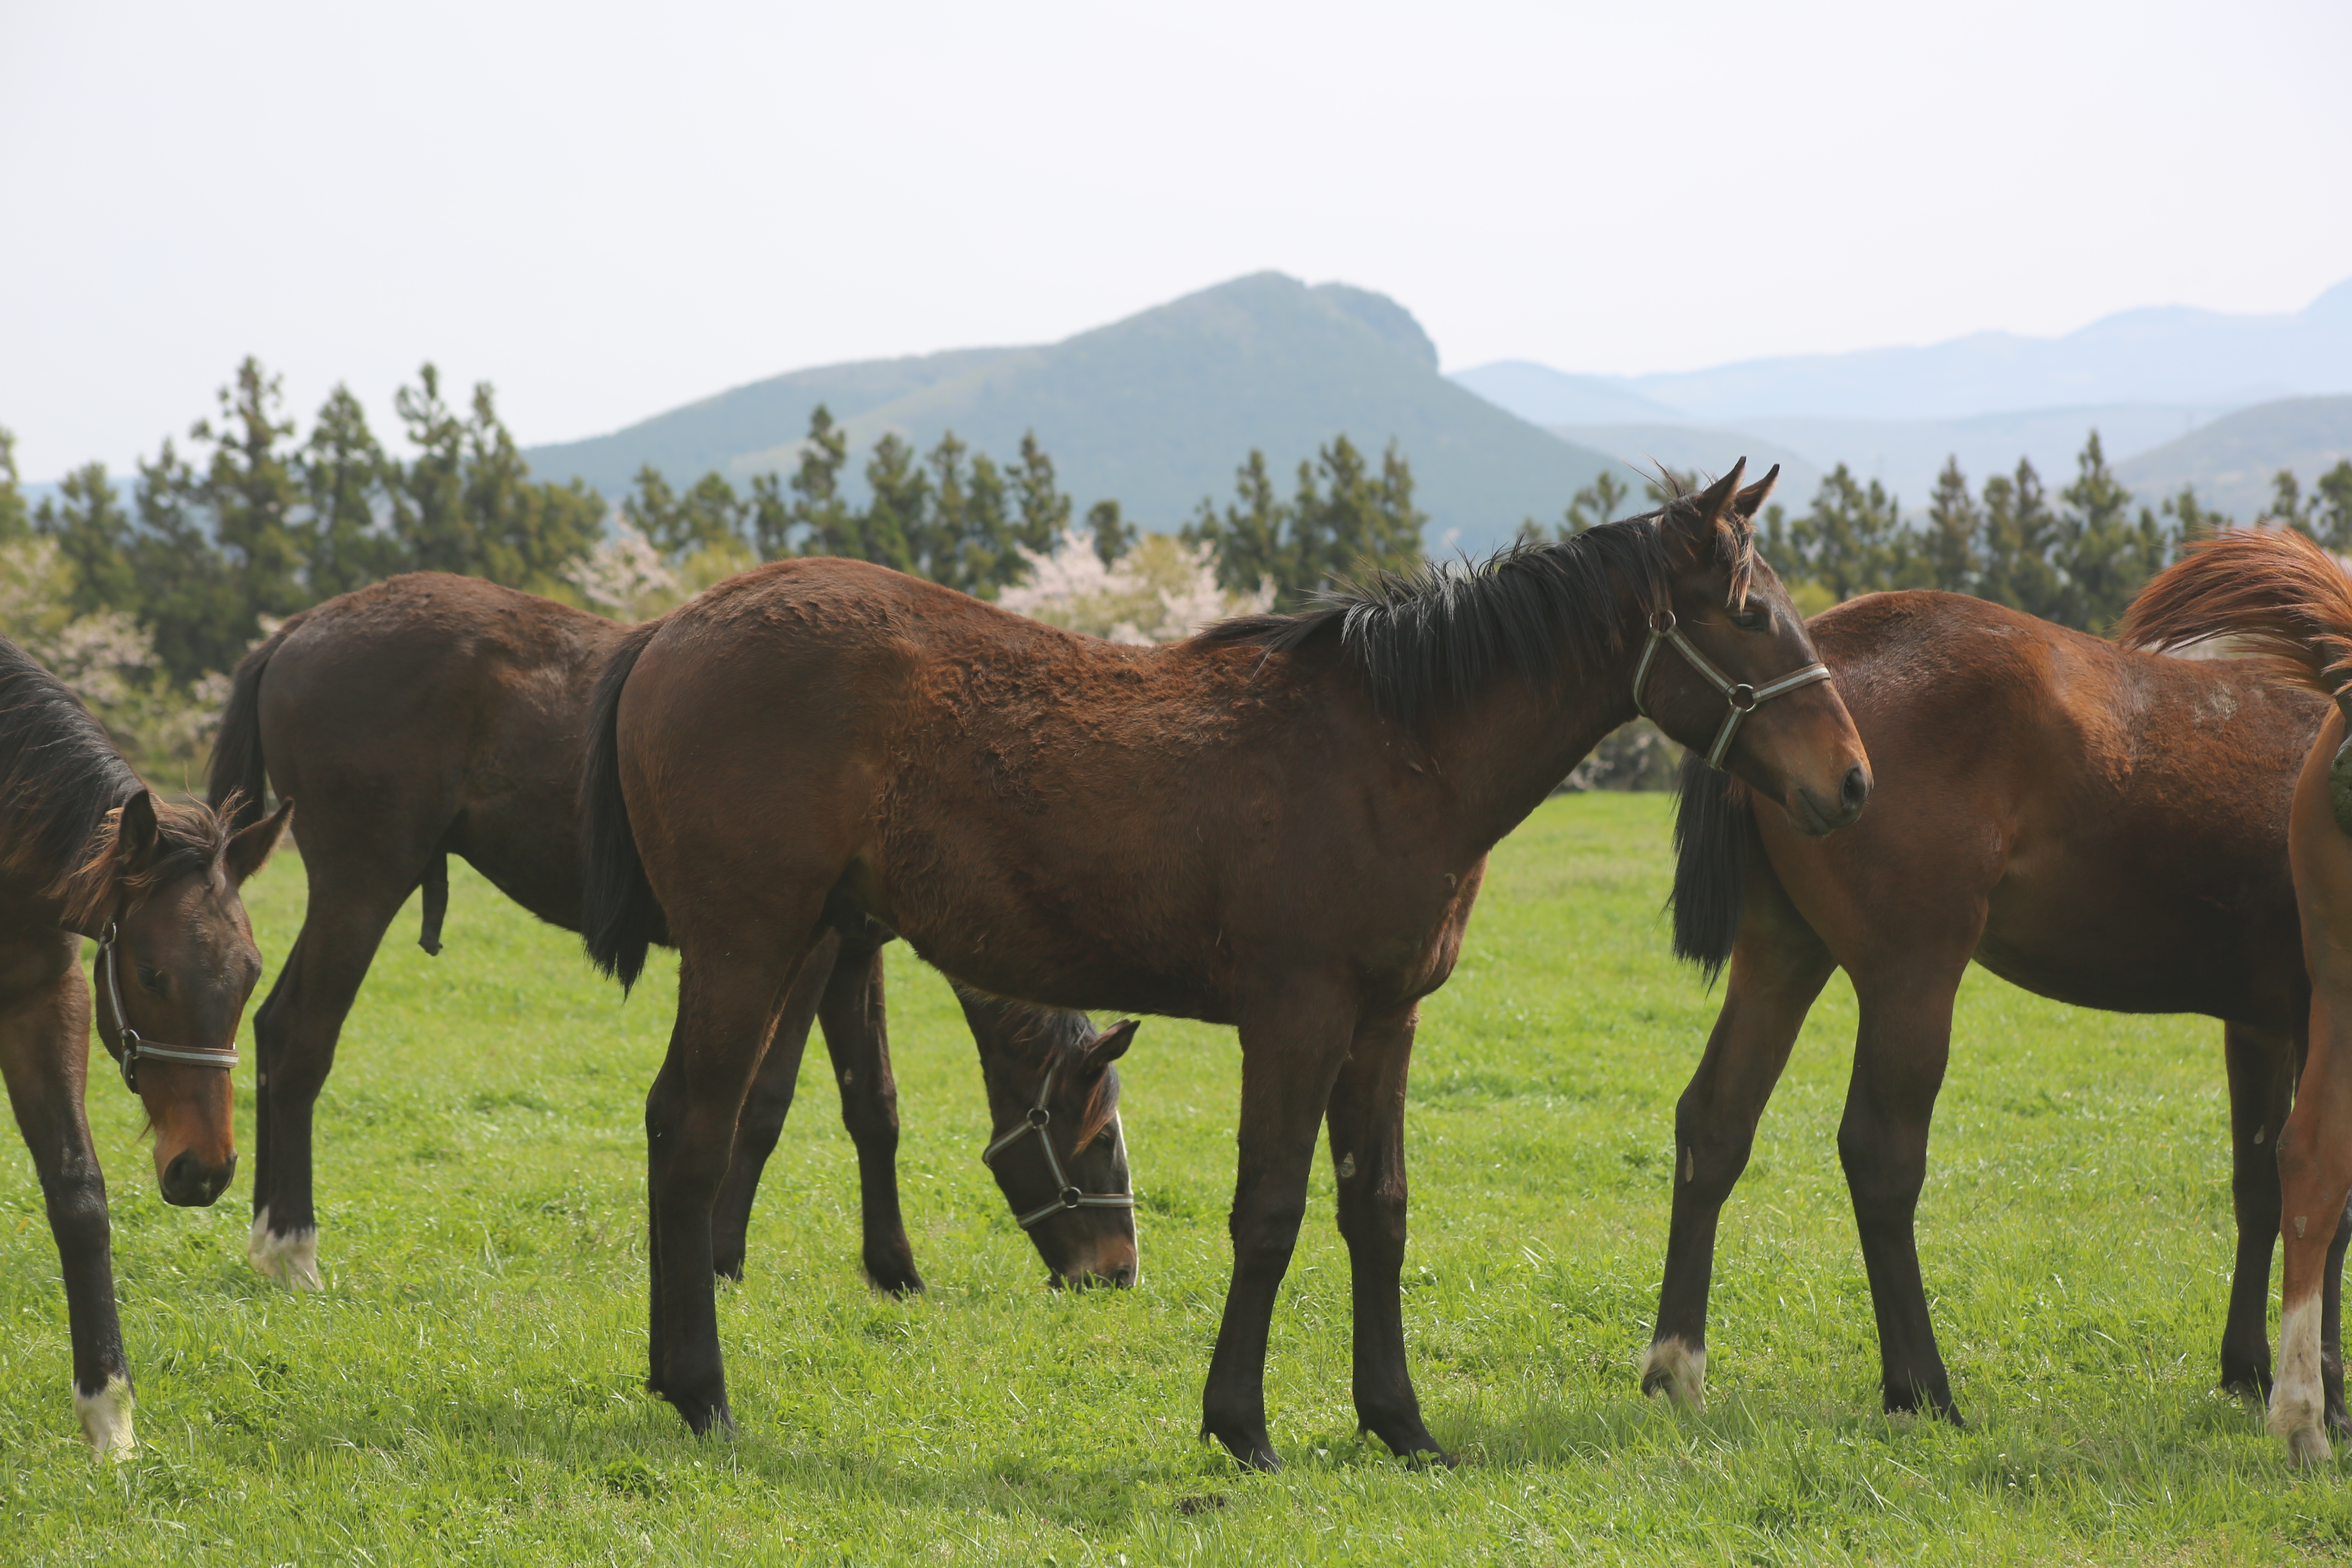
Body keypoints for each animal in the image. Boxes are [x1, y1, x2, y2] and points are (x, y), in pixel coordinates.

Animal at [0, 635, 289, 1457]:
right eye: (153, 974)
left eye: (252, 972)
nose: (206, 1169)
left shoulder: (43, 1002)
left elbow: (78, 1197)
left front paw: (111, 1417)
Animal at [207, 571, 1143, 1297]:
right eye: (1096, 1142)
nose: (1118, 1272)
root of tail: (296, 632)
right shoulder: (802, 951)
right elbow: (764, 1105)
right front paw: (721, 1256)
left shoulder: (852, 953)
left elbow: (872, 1106)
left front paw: (894, 1269)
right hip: (362, 884)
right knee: (301, 1039)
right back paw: (292, 1246)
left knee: (273, 1031)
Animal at [578, 461, 1862, 1467]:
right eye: (1749, 612)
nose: (1851, 781)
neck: (1392, 751)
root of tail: (666, 632)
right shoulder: (1296, 1017)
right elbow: (1272, 1212)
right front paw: (1241, 1423)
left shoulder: (1384, 1021)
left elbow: (1377, 1210)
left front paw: (1398, 1422)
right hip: (750, 945)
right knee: (693, 1134)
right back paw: (703, 1392)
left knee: (674, 1123)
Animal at [1646, 588, 2323, 1439]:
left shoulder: (2261, 1025)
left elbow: (2263, 1185)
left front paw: (2252, 1368)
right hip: (1913, 976)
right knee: (1881, 1156)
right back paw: (1923, 1387)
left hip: (1782, 958)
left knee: (1716, 1125)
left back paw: (1676, 1366)